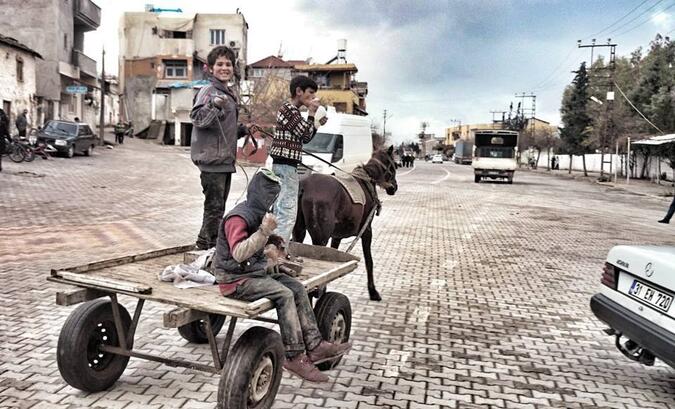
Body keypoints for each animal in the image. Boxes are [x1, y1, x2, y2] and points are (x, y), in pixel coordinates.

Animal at [294, 146, 398, 300]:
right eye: (394, 165)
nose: (394, 188)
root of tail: (305, 186)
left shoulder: (336, 236)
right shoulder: (367, 231)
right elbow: (369, 260)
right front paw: (373, 291)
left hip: (299, 231)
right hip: (321, 238)